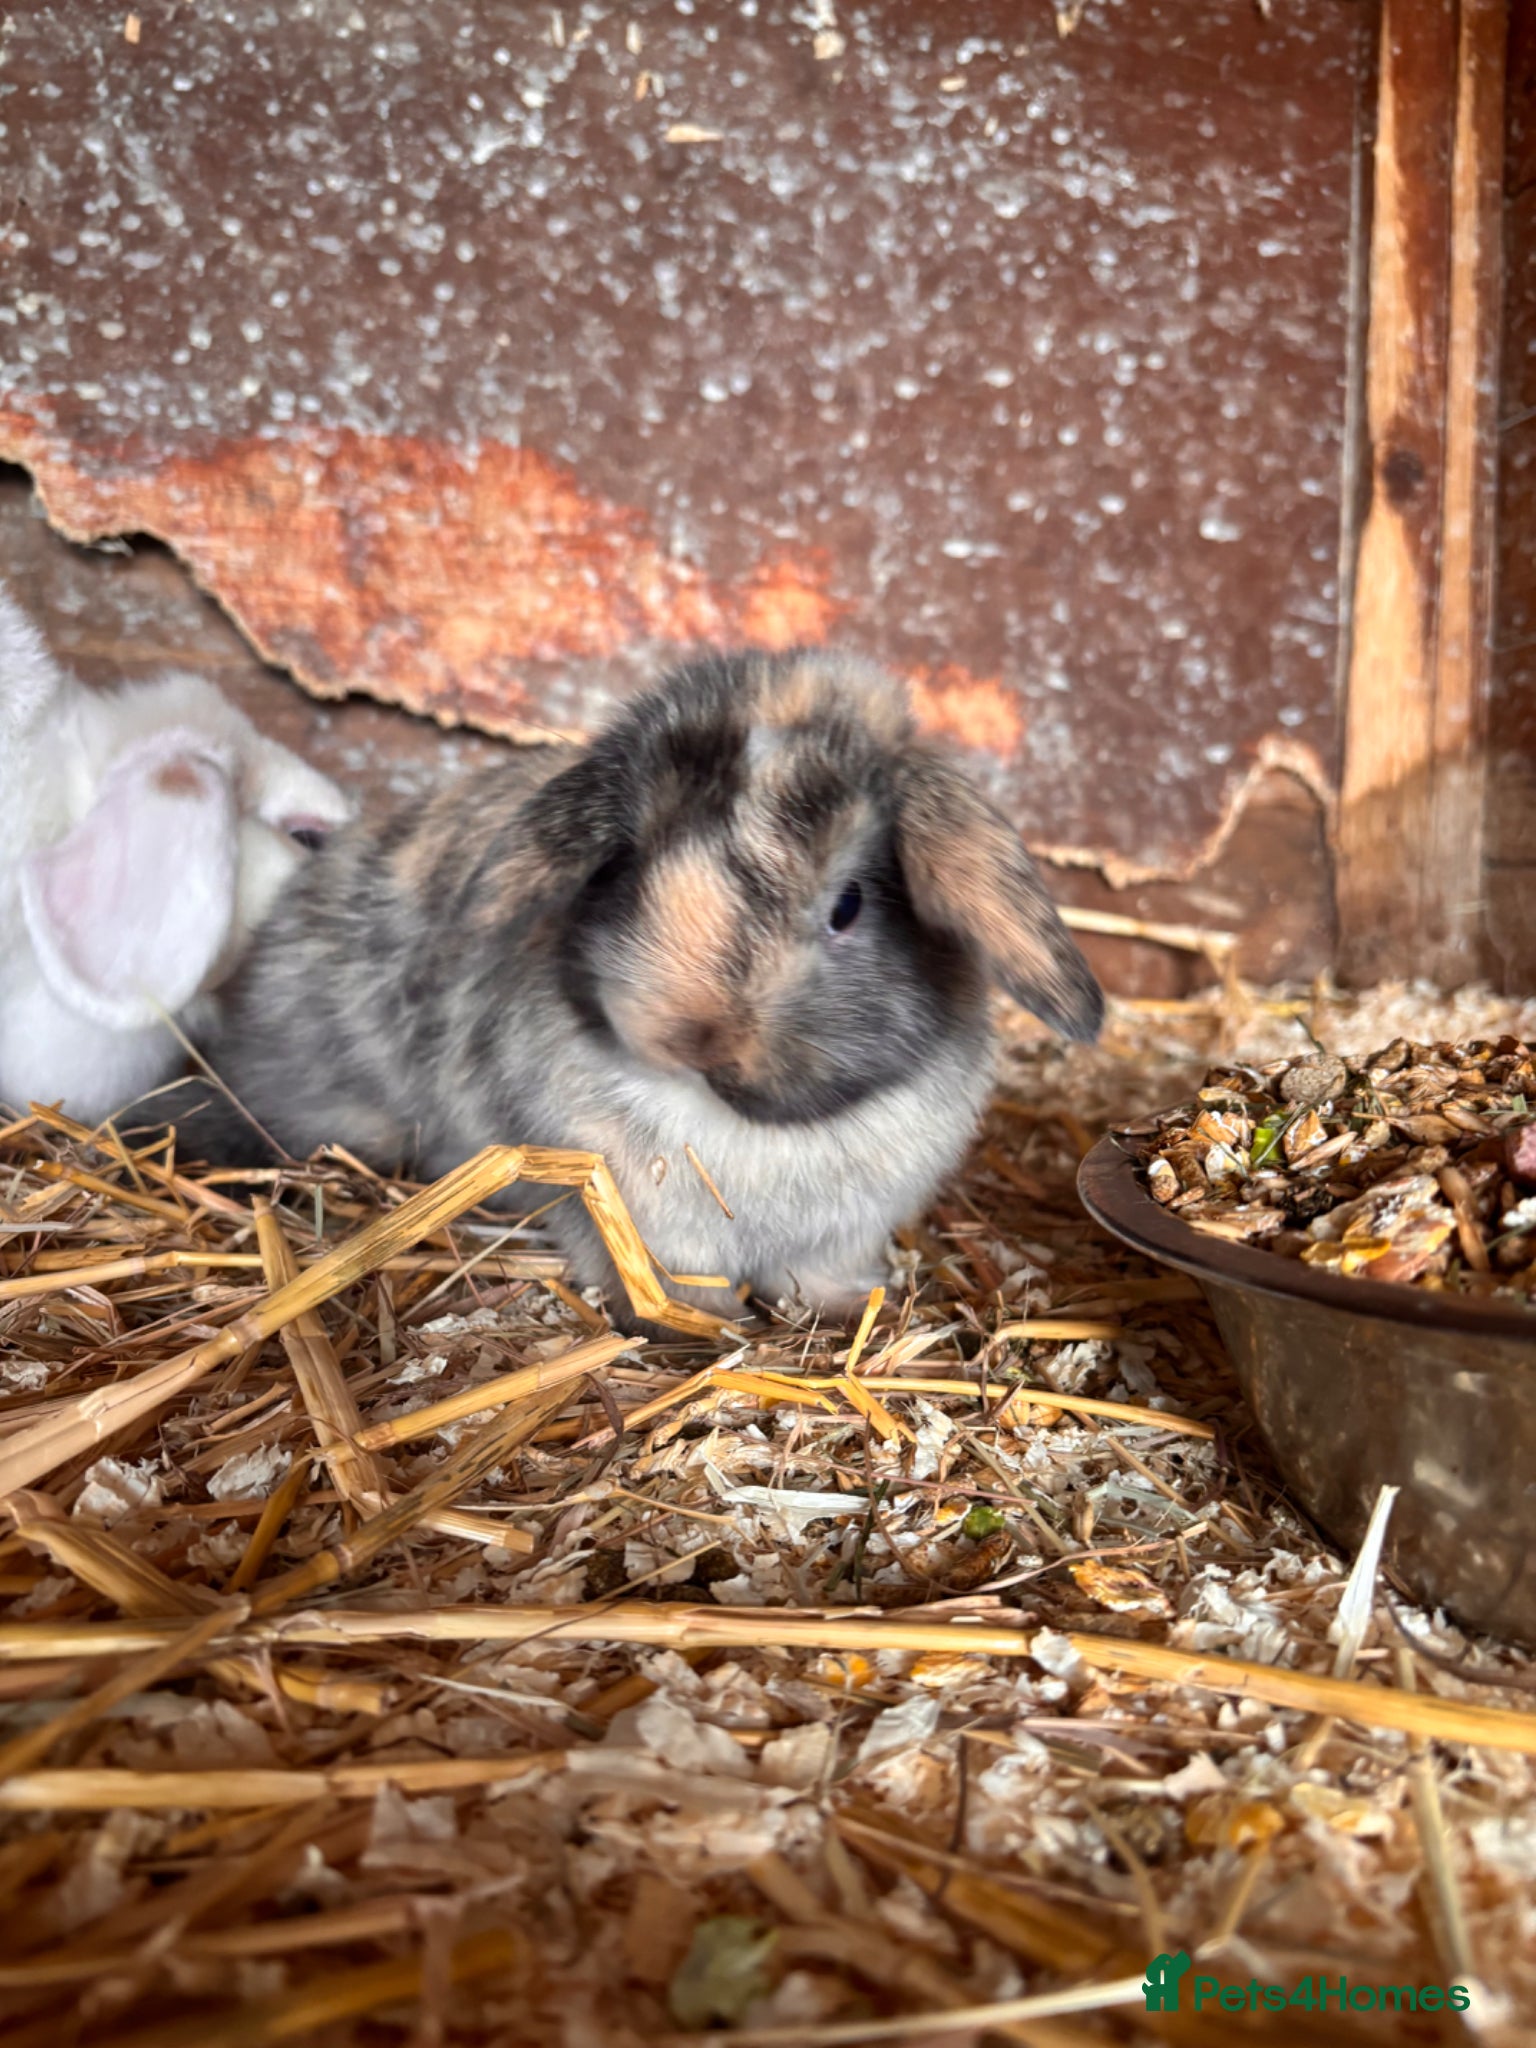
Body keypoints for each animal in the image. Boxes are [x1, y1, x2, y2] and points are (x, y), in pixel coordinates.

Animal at [163, 650, 1102, 1327]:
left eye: (848, 905)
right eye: (631, 864)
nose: (691, 1035)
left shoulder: (846, 1227)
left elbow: (822, 1275)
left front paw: (843, 1311)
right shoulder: (635, 1216)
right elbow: (675, 1279)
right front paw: (697, 1322)